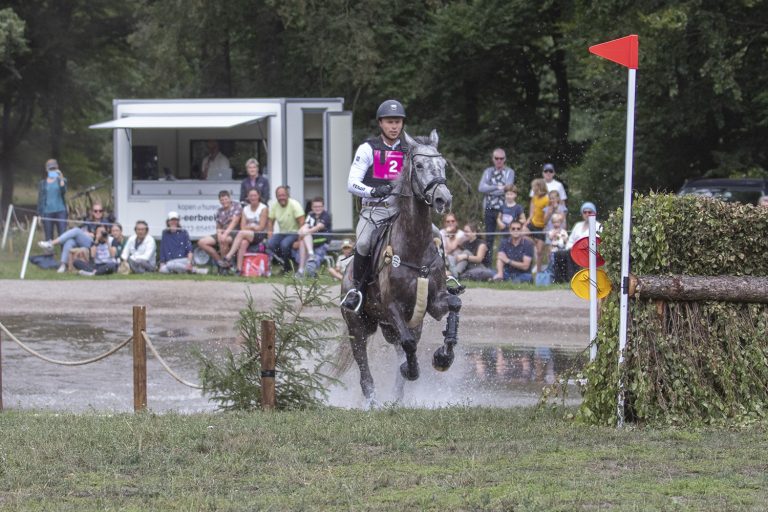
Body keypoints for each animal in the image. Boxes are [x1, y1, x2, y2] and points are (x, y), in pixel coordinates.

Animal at [341, 130, 463, 408]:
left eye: (443, 165)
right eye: (419, 166)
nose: (443, 199)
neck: (414, 246)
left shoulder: (434, 304)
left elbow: (454, 304)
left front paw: (444, 357)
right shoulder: (392, 306)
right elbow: (408, 345)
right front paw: (412, 370)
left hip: (397, 325)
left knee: (403, 346)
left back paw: (396, 397)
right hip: (358, 327)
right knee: (365, 370)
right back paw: (372, 402)